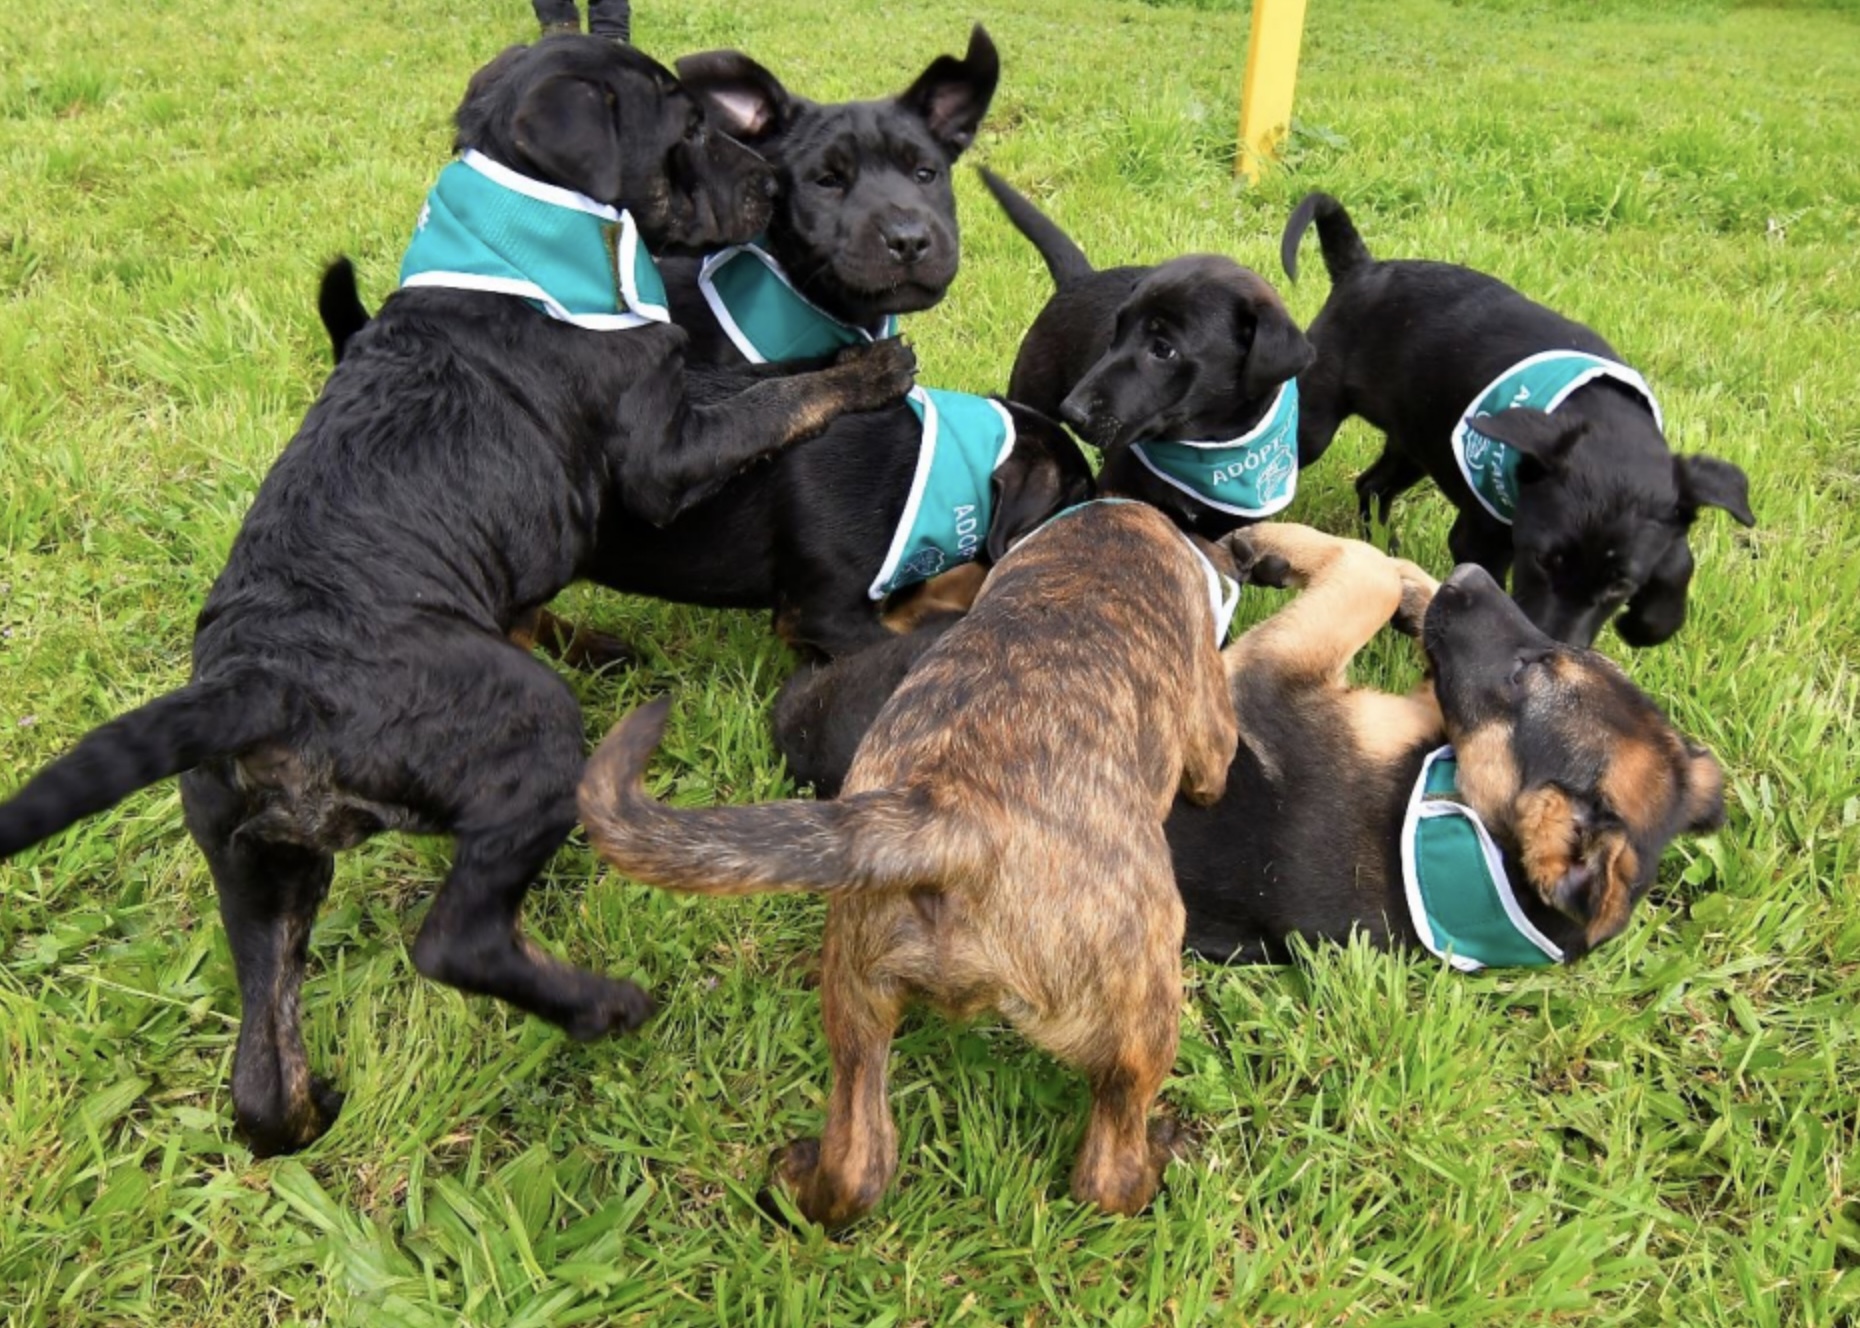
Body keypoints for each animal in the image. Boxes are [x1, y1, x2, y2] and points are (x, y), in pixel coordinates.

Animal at [0, 28, 915, 1145]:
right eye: (687, 128)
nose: (776, 183)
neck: (524, 248)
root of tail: (263, 683)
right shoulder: (664, 453)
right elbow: (769, 400)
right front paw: (861, 372)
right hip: (526, 732)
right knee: (455, 940)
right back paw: (603, 1005)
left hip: (255, 863)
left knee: (261, 1071)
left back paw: (307, 1106)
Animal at [576, 502, 1249, 1227]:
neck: (1103, 530)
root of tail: (955, 818)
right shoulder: (1212, 727)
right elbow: (1214, 763)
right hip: (1141, 1011)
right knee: (1106, 1173)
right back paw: (1159, 1154)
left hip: (856, 993)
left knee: (860, 1162)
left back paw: (797, 1179)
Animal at [982, 166, 1316, 539]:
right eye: (1117, 331)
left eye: (1163, 350)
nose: (1072, 411)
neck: (1206, 449)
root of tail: (1079, 279)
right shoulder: (1117, 488)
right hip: (1032, 392)